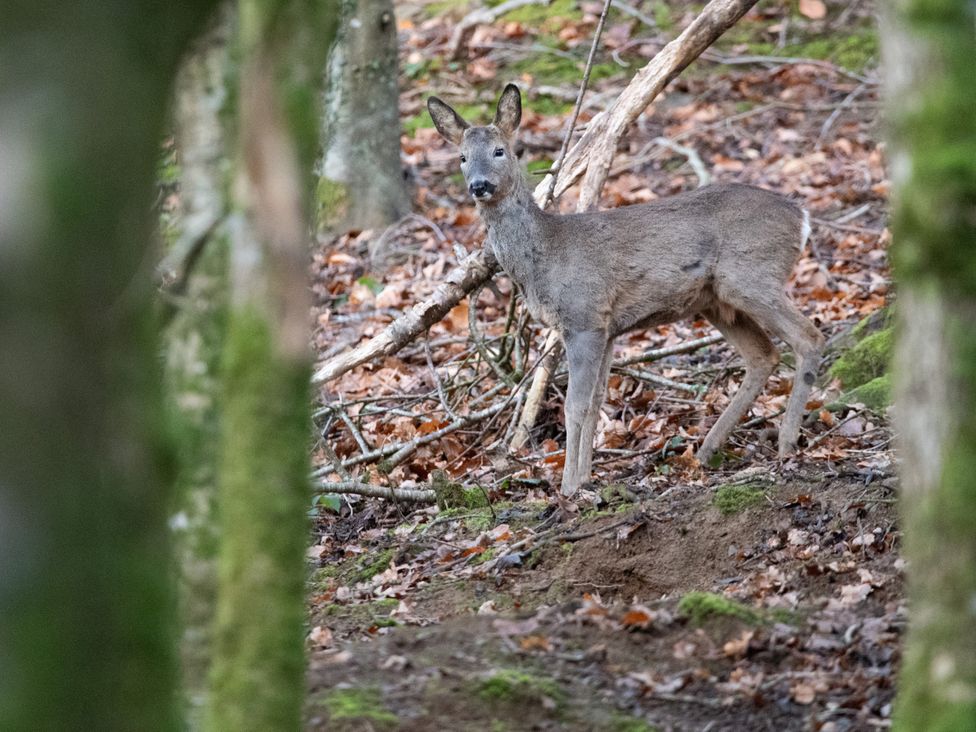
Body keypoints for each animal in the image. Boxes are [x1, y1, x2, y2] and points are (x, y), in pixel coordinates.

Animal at [427, 84, 825, 497]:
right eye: (462, 157)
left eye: (499, 151)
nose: (479, 185)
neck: (545, 255)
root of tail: (801, 217)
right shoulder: (608, 328)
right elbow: (597, 401)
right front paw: (586, 477)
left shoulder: (584, 317)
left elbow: (575, 406)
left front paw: (568, 488)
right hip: (716, 301)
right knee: (763, 355)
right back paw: (707, 449)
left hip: (751, 275)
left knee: (808, 336)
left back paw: (786, 441)